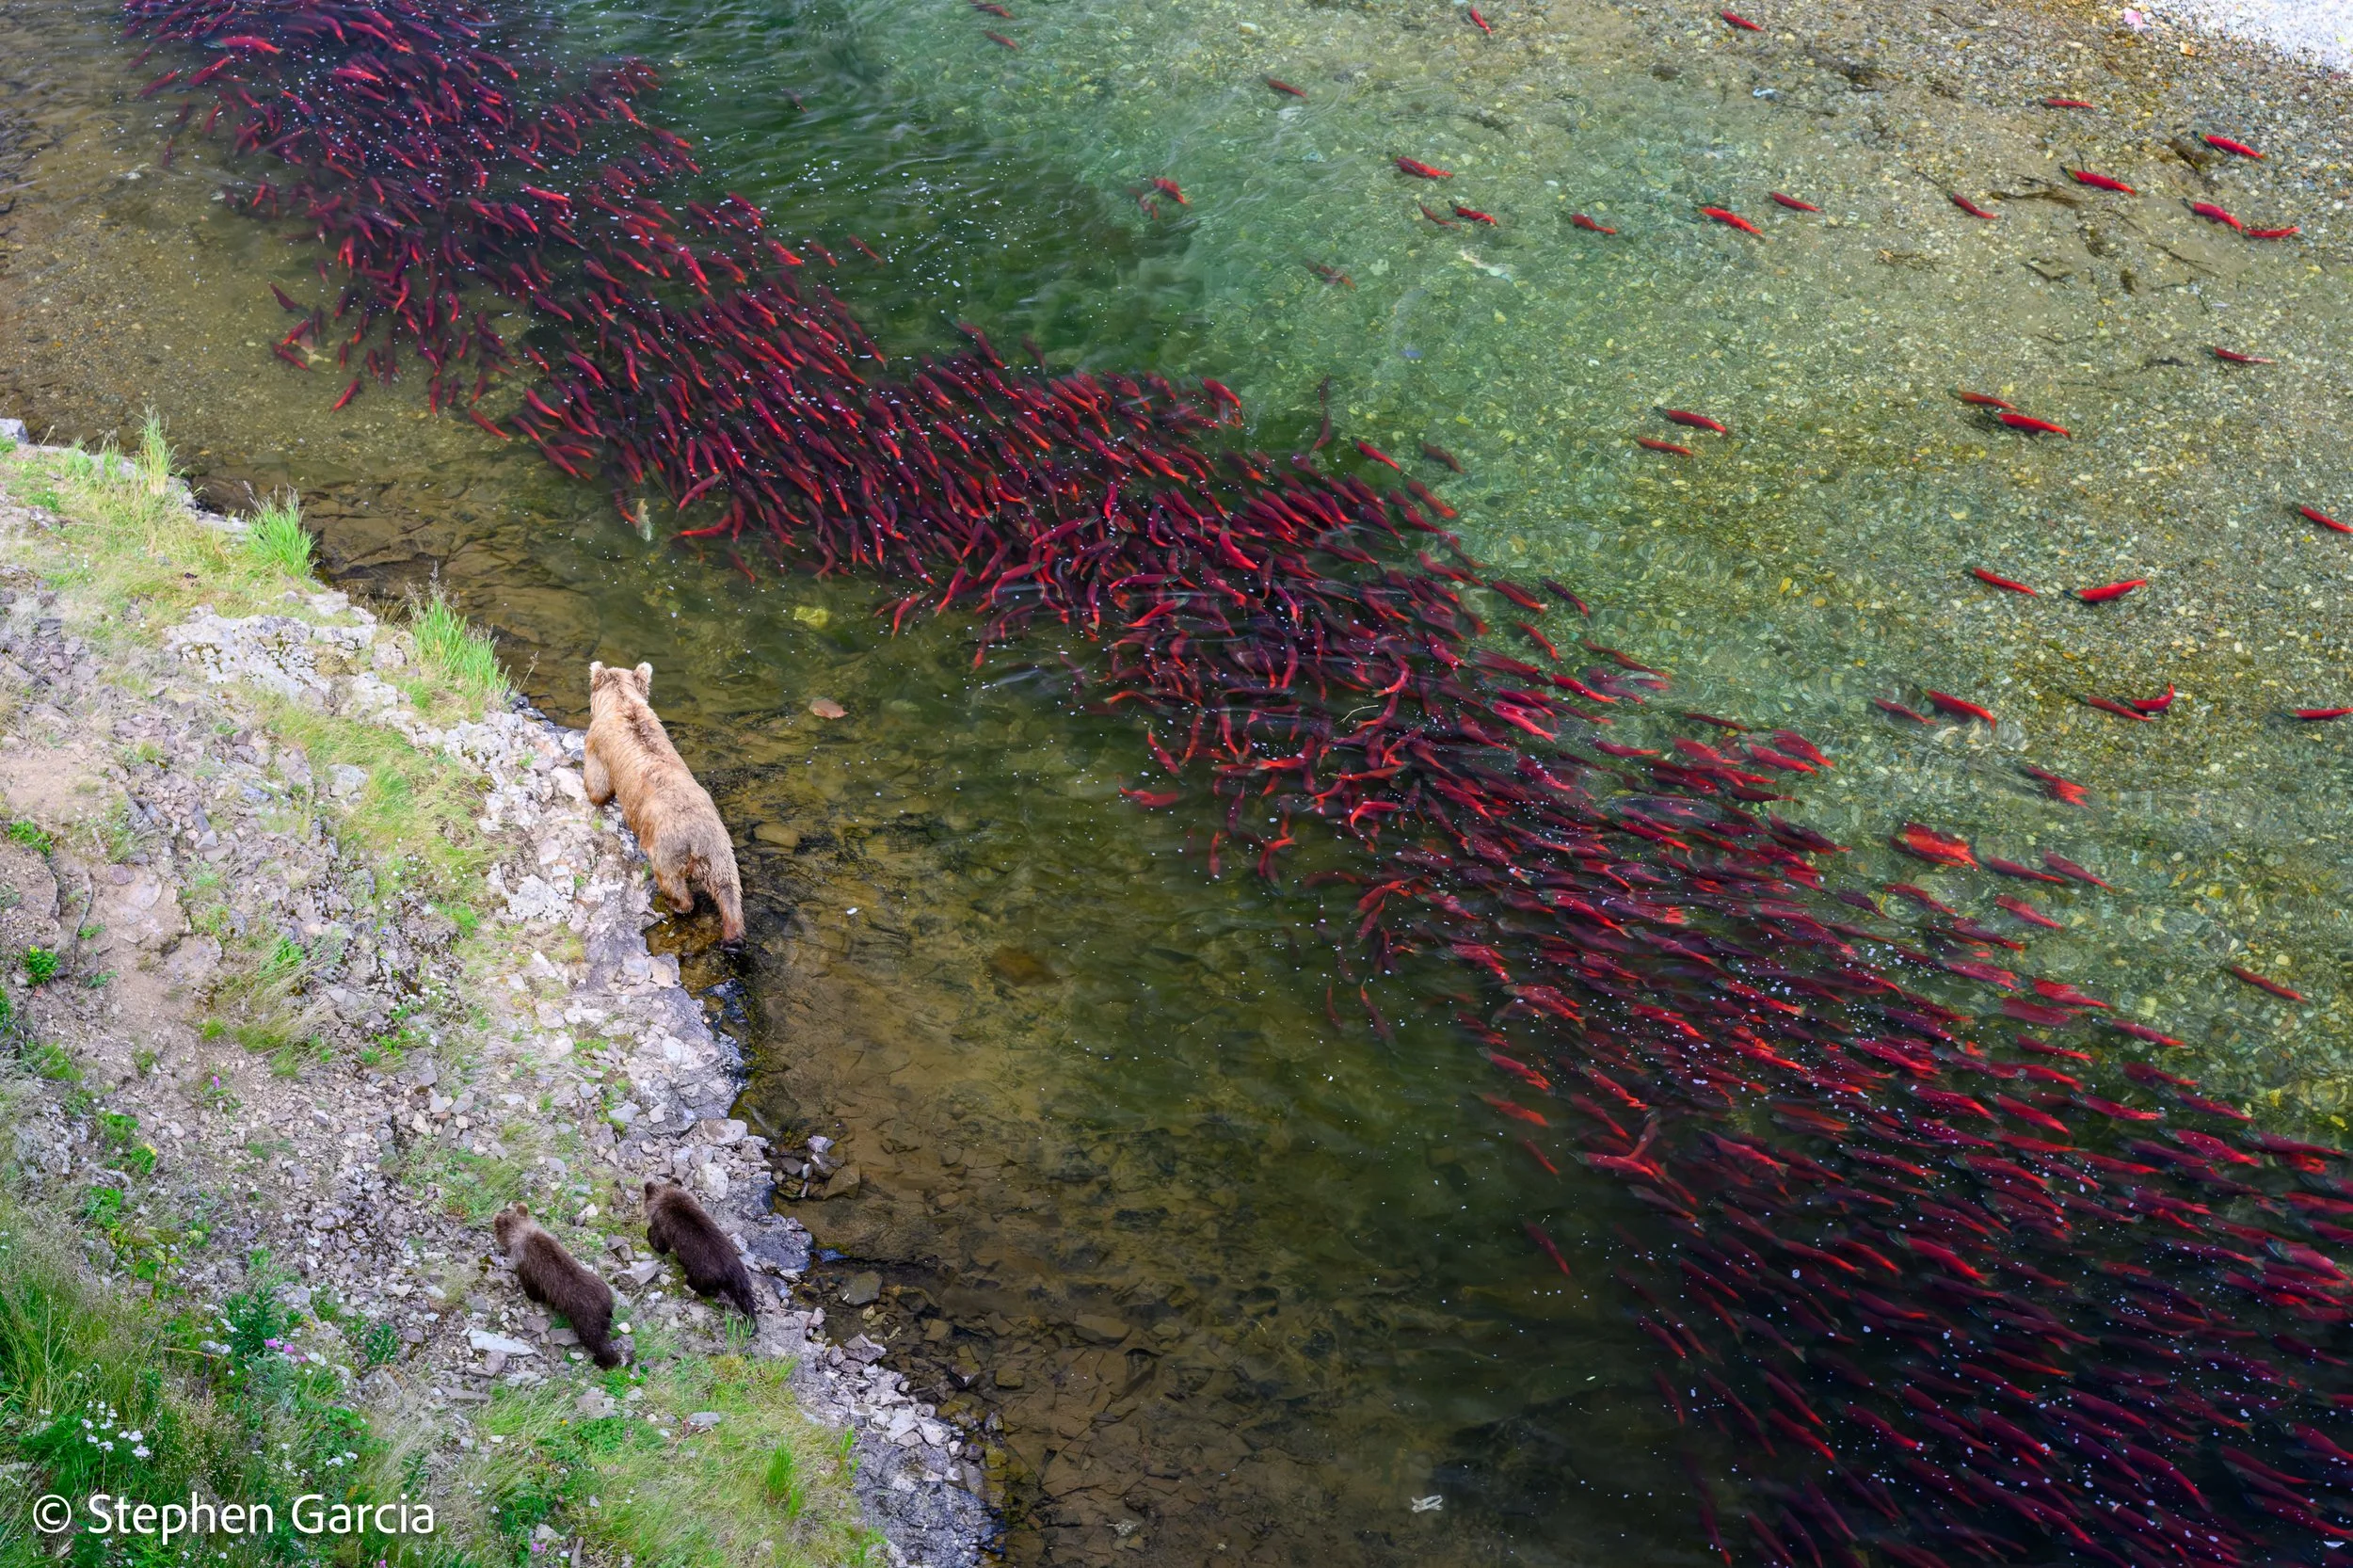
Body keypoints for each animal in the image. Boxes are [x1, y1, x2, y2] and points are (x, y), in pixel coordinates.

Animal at [492, 1203, 624, 1368]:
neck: (524, 1236)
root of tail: (607, 1304)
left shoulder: (528, 1268)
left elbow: (532, 1289)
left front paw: (532, 1296)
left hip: (586, 1317)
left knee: (595, 1339)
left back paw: (604, 1360)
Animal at [583, 661, 745, 942]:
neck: (620, 702)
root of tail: (696, 838)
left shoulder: (600, 747)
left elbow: (597, 781)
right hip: (720, 848)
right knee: (729, 888)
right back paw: (734, 936)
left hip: (666, 848)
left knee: (672, 882)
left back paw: (676, 904)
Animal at [644, 1180, 761, 1320]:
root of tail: (733, 1271)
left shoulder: (663, 1224)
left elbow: (660, 1241)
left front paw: (651, 1239)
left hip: (703, 1271)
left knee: (704, 1286)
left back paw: (691, 1282)